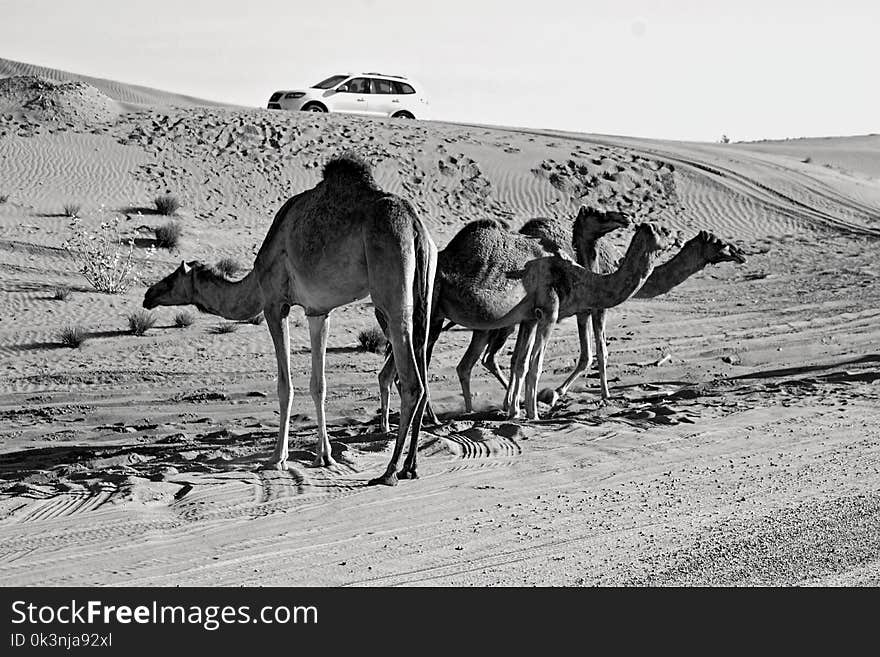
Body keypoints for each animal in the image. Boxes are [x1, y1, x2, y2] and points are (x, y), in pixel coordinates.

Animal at [144, 155, 440, 486]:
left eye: (171, 279)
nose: (148, 295)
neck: (255, 281)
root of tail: (414, 225)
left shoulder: (275, 305)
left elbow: (285, 386)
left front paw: (277, 458)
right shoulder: (318, 311)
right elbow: (319, 384)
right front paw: (324, 456)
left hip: (390, 288)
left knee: (411, 382)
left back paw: (389, 471)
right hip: (425, 292)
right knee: (422, 374)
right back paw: (410, 466)